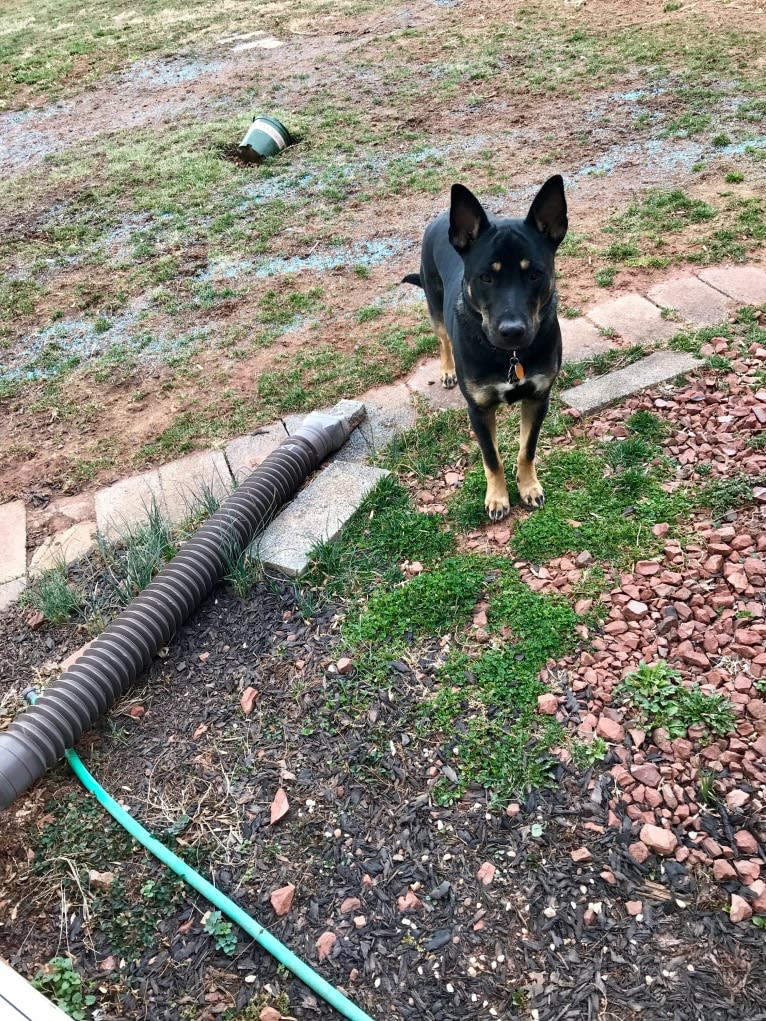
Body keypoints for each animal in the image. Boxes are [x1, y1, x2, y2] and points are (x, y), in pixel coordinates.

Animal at [404, 174, 567, 518]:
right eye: (485, 278)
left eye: (535, 274)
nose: (512, 331)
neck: (510, 357)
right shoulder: (478, 410)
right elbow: (492, 458)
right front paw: (497, 497)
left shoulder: (538, 398)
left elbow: (526, 449)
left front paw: (528, 487)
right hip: (434, 304)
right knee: (442, 339)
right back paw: (447, 370)